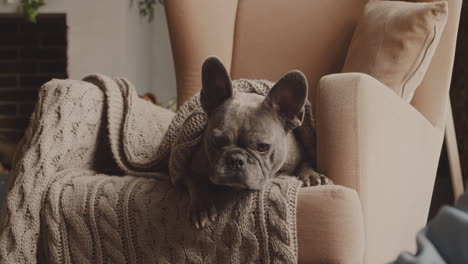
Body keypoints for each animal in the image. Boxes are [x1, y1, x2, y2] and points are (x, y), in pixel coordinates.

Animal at [186, 56, 332, 228]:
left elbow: (306, 163)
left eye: (263, 147)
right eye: (217, 141)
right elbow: (197, 182)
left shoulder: (300, 154)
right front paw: (202, 208)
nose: (236, 160)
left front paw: (312, 176)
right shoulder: (190, 166)